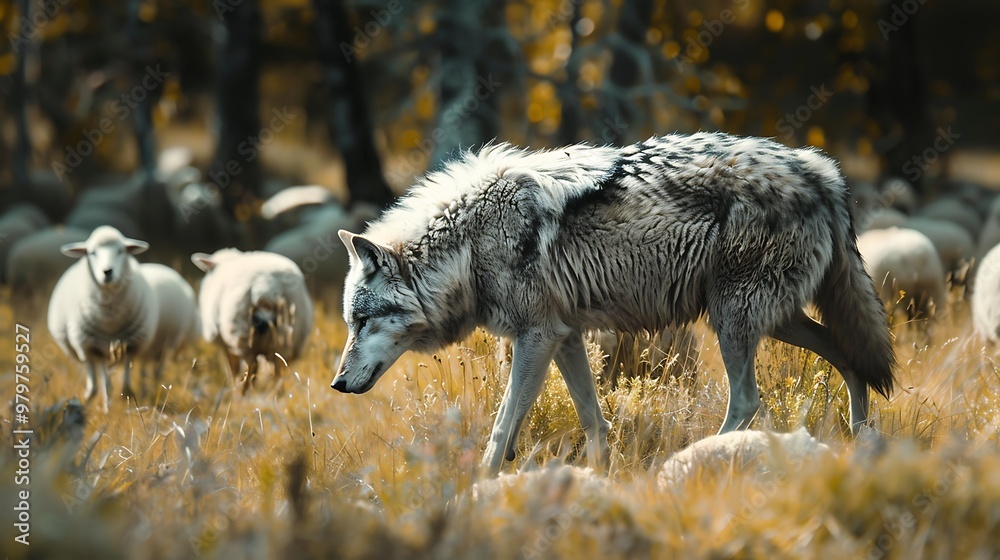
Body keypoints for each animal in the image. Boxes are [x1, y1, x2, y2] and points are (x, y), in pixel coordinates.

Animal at [47, 226, 158, 412]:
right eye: (92, 252)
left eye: (121, 250)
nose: (107, 271)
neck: (110, 319)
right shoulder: (93, 348)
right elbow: (106, 385)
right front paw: (107, 410)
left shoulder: (131, 345)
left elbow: (126, 385)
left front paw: (127, 402)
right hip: (86, 350)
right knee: (94, 384)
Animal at [191, 248, 314, 392]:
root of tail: (267, 287)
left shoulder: (225, 343)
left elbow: (232, 369)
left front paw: (233, 386)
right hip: (287, 338)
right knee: (278, 370)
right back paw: (276, 393)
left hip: (241, 334)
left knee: (252, 367)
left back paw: (244, 392)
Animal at [331, 132, 895, 475]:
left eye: (362, 321)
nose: (336, 383)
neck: (469, 246)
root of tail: (822, 171)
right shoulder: (564, 338)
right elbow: (592, 420)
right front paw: (599, 476)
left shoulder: (536, 338)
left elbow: (500, 427)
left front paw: (478, 493)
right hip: (774, 319)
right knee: (849, 357)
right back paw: (861, 441)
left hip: (733, 321)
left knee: (748, 400)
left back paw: (697, 457)